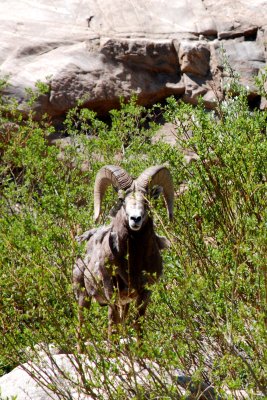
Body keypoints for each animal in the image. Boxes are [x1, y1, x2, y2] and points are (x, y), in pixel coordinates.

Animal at [73, 164, 175, 346]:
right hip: (83, 296)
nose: (135, 219)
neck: (133, 262)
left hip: (123, 303)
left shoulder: (144, 294)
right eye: (121, 200)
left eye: (147, 200)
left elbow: (138, 326)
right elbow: (112, 327)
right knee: (81, 329)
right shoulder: (111, 291)